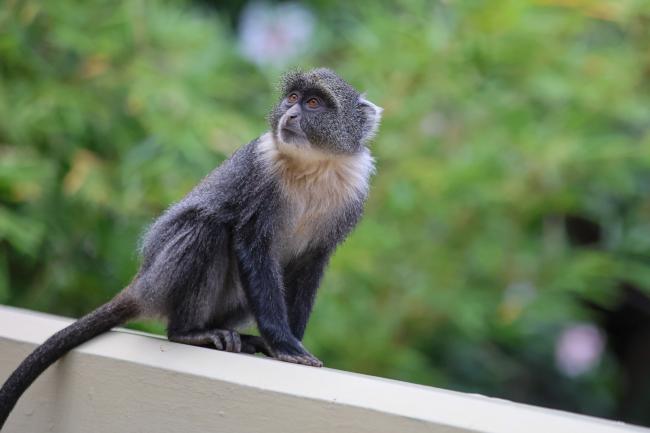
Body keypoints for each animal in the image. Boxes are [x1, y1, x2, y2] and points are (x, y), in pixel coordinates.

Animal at [0, 68, 382, 428]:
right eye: (291, 98)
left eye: (313, 103)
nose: (290, 115)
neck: (314, 165)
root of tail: (143, 283)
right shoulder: (260, 175)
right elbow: (251, 243)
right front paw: (284, 344)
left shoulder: (347, 201)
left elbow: (310, 267)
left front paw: (290, 344)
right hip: (166, 278)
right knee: (205, 227)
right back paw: (189, 333)